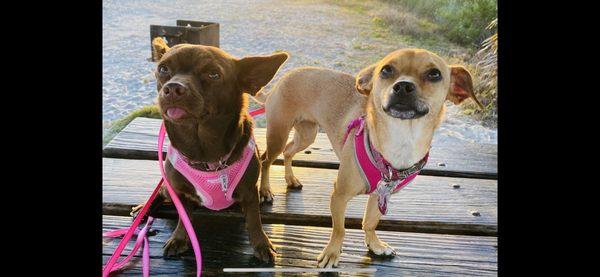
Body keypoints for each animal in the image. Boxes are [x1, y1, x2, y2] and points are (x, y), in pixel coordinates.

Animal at [141, 38, 290, 260]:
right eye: (163, 69)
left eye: (213, 74)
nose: (173, 87)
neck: (206, 150)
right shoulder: (180, 193)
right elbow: (184, 218)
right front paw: (179, 238)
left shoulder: (249, 192)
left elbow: (254, 219)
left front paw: (261, 244)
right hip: (169, 188)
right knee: (160, 192)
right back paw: (143, 208)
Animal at [258, 48, 482, 266]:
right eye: (386, 70)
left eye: (434, 74)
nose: (403, 86)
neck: (402, 139)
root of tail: (284, 77)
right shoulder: (339, 195)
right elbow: (339, 229)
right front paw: (332, 253)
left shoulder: (381, 195)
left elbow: (370, 222)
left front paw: (375, 245)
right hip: (279, 134)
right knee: (265, 159)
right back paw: (265, 190)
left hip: (307, 134)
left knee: (288, 151)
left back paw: (290, 179)